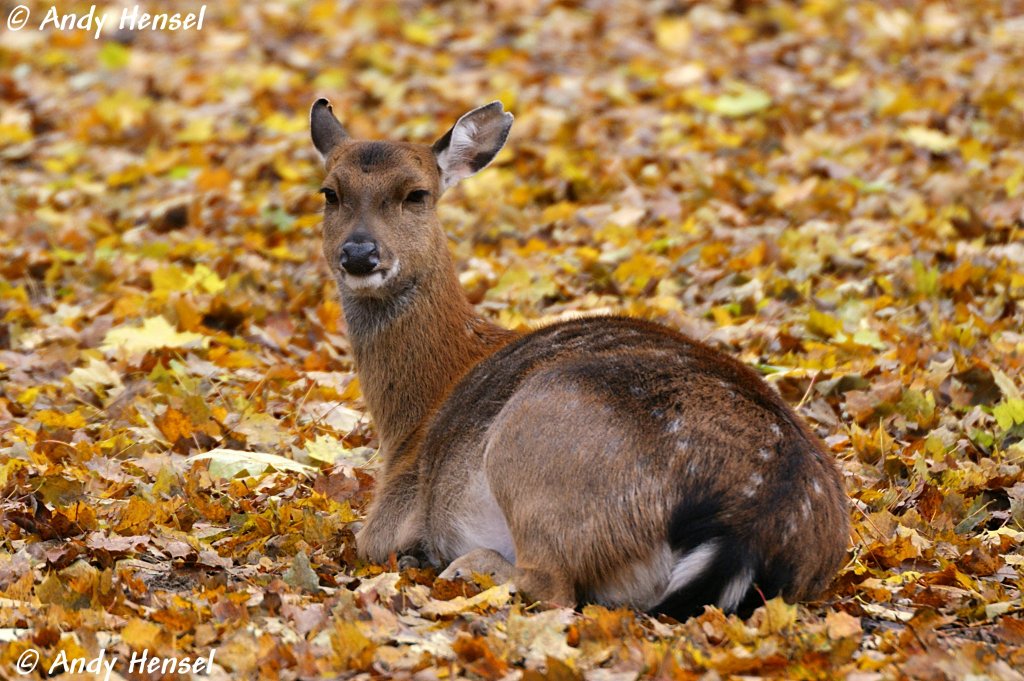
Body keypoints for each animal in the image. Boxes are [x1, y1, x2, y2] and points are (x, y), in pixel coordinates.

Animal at [309, 98, 847, 618]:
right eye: (330, 192)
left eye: (416, 194)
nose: (360, 253)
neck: (412, 418)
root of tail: (749, 529)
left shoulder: (387, 518)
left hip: (538, 438)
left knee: (551, 586)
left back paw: (462, 565)